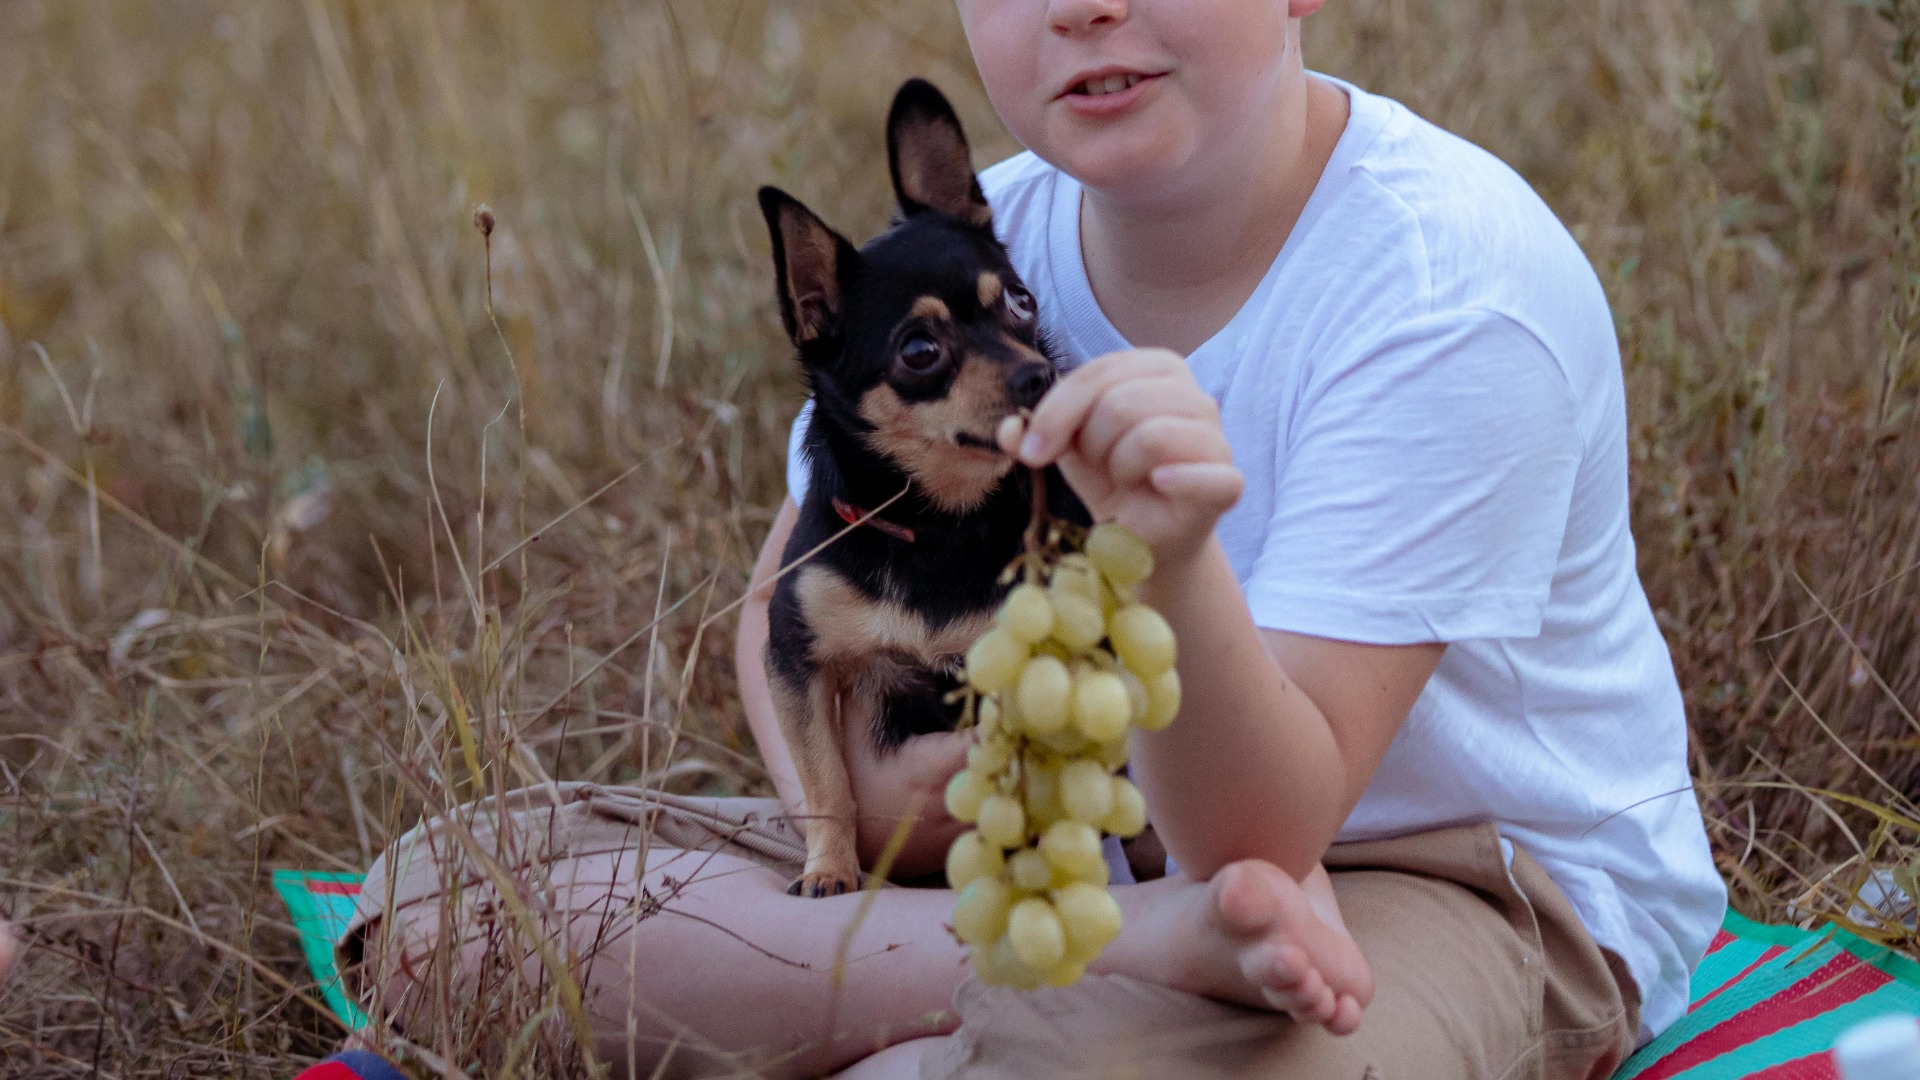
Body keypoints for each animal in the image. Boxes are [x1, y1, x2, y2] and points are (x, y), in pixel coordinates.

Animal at [756, 82, 1090, 891]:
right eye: (919, 351)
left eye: (1022, 302)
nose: (1040, 376)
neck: (943, 520)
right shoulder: (795, 659)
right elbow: (825, 780)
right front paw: (830, 867)